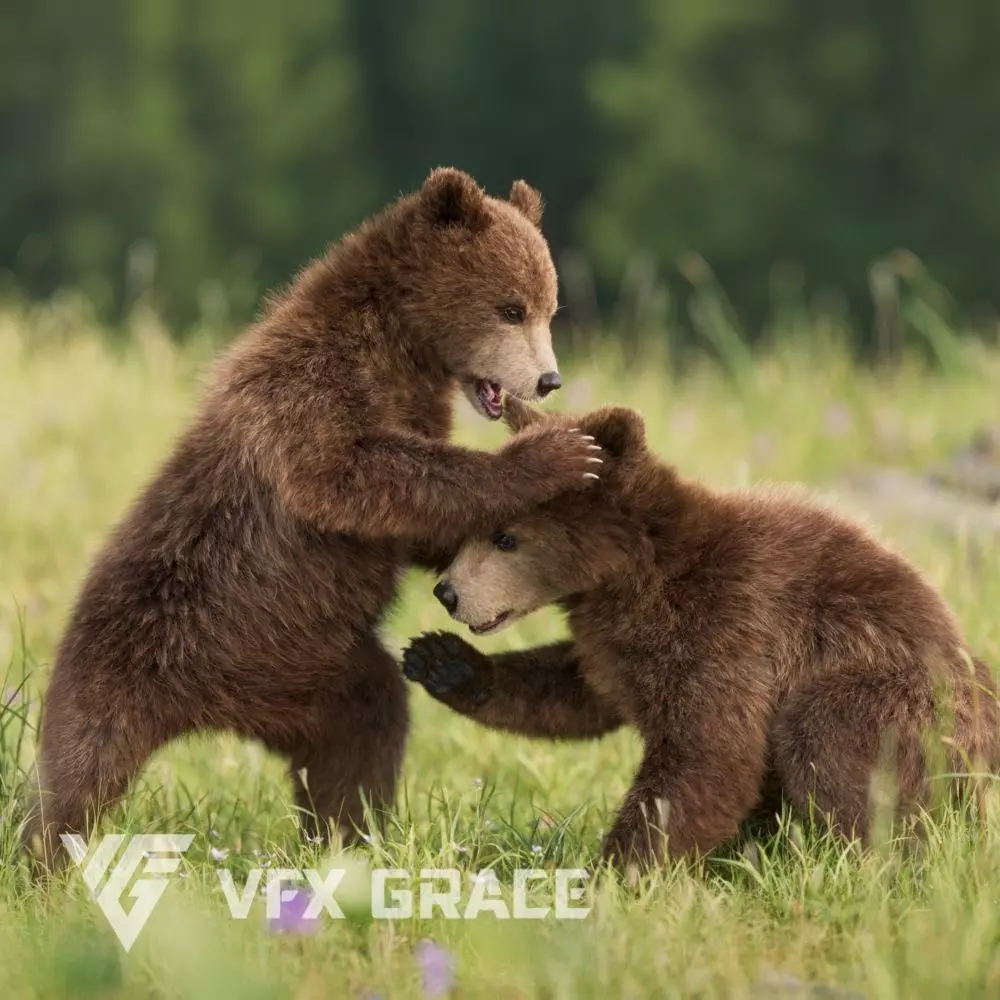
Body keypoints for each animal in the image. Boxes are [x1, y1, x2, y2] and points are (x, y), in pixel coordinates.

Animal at [23, 168, 605, 868]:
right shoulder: (309, 390)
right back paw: (43, 858)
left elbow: (412, 522)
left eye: (550, 308)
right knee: (77, 774)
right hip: (137, 650)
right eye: (511, 307)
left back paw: (347, 835)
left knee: (364, 731)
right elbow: (358, 474)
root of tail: (210, 711)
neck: (402, 350)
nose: (548, 380)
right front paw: (562, 452)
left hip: (312, 671)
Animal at [403, 397, 999, 868]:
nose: (448, 592)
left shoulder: (729, 623)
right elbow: (577, 690)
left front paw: (613, 873)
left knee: (827, 731)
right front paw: (439, 660)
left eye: (505, 538)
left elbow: (708, 753)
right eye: (470, 528)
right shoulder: (616, 644)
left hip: (916, 705)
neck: (631, 579)